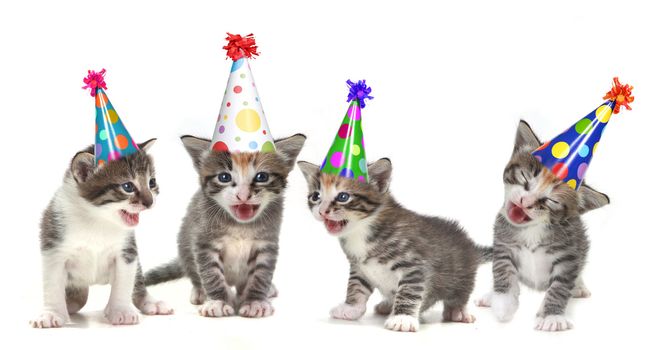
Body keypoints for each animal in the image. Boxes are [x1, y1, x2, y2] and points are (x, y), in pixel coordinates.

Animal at [30, 139, 171, 328]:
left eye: (152, 183)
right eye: (128, 186)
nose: (150, 202)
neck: (97, 218)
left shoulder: (127, 251)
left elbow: (124, 283)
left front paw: (121, 311)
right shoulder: (53, 246)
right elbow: (52, 284)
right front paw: (51, 314)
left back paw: (149, 302)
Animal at [145, 133, 306, 318]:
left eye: (262, 177)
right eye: (224, 177)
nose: (243, 195)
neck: (240, 226)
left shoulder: (267, 243)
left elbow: (260, 275)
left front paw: (255, 301)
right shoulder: (204, 241)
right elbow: (211, 274)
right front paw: (218, 301)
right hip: (184, 243)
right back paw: (200, 291)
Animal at [298, 158, 490, 330]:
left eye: (343, 197)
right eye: (316, 196)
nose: (322, 211)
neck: (362, 230)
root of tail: (471, 246)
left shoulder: (414, 265)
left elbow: (408, 291)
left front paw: (403, 318)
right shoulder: (360, 267)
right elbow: (356, 287)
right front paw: (351, 308)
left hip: (461, 275)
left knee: (459, 294)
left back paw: (457, 311)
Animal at [478, 121, 612, 332]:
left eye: (551, 200)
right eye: (525, 178)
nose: (525, 201)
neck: (532, 230)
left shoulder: (569, 256)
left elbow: (560, 286)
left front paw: (552, 316)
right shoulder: (502, 244)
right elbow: (502, 270)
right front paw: (503, 303)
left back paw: (579, 287)